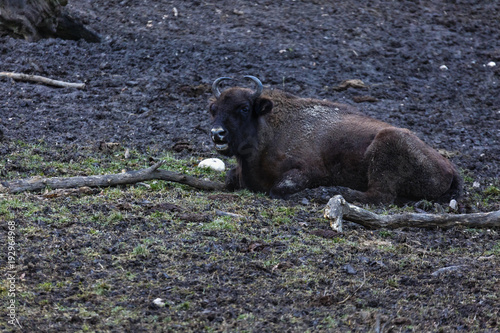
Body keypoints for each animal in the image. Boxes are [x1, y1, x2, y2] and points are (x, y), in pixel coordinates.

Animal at [208, 75, 460, 204]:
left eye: (244, 108)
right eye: (213, 108)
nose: (217, 133)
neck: (270, 129)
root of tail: (450, 167)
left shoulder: (309, 171)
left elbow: (278, 188)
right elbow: (230, 179)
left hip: (387, 142)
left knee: (381, 195)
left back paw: (331, 192)